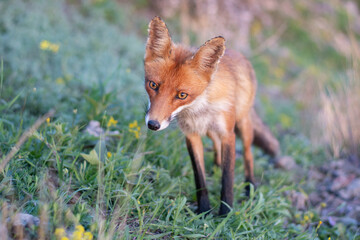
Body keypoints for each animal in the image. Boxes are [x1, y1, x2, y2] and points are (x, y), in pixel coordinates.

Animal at [145, 17, 280, 216]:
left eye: (182, 95)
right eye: (153, 85)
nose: (153, 124)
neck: (199, 108)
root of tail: (239, 54)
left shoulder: (228, 135)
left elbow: (228, 178)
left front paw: (225, 213)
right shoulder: (192, 135)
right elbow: (199, 177)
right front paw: (204, 210)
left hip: (243, 124)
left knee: (248, 153)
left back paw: (250, 186)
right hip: (210, 131)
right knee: (216, 145)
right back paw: (216, 166)